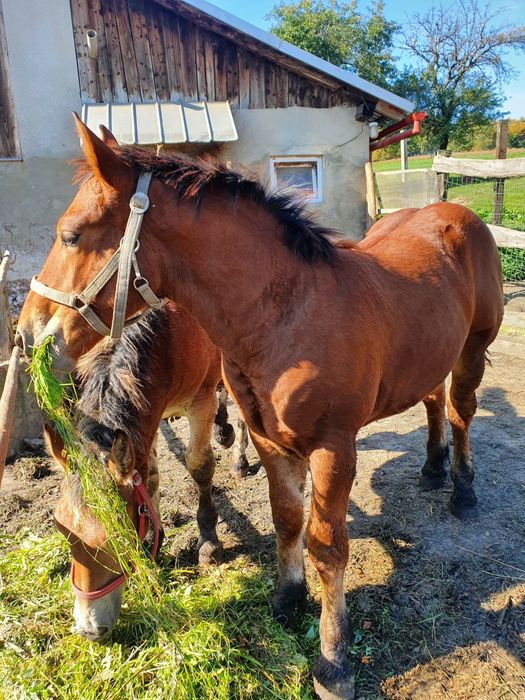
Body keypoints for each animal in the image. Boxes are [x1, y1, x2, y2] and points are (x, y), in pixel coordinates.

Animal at [17, 117, 504, 696]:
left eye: (71, 234)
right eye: (61, 530)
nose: (26, 333)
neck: (289, 314)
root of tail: (456, 213)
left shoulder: (333, 449)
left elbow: (327, 547)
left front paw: (333, 659)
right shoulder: (272, 440)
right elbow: (287, 520)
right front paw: (287, 599)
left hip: (473, 347)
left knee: (461, 412)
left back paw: (463, 490)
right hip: (430, 353)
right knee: (433, 401)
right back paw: (431, 467)